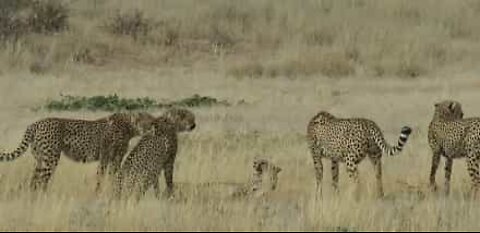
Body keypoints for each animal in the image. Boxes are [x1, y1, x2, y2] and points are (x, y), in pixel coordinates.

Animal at [0, 111, 154, 191]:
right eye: (145, 122)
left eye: (151, 122)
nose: (150, 129)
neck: (129, 126)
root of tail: (36, 123)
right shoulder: (105, 156)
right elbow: (101, 175)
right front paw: (99, 192)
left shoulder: (116, 158)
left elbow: (113, 175)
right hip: (51, 159)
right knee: (42, 180)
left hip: (39, 159)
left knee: (34, 180)